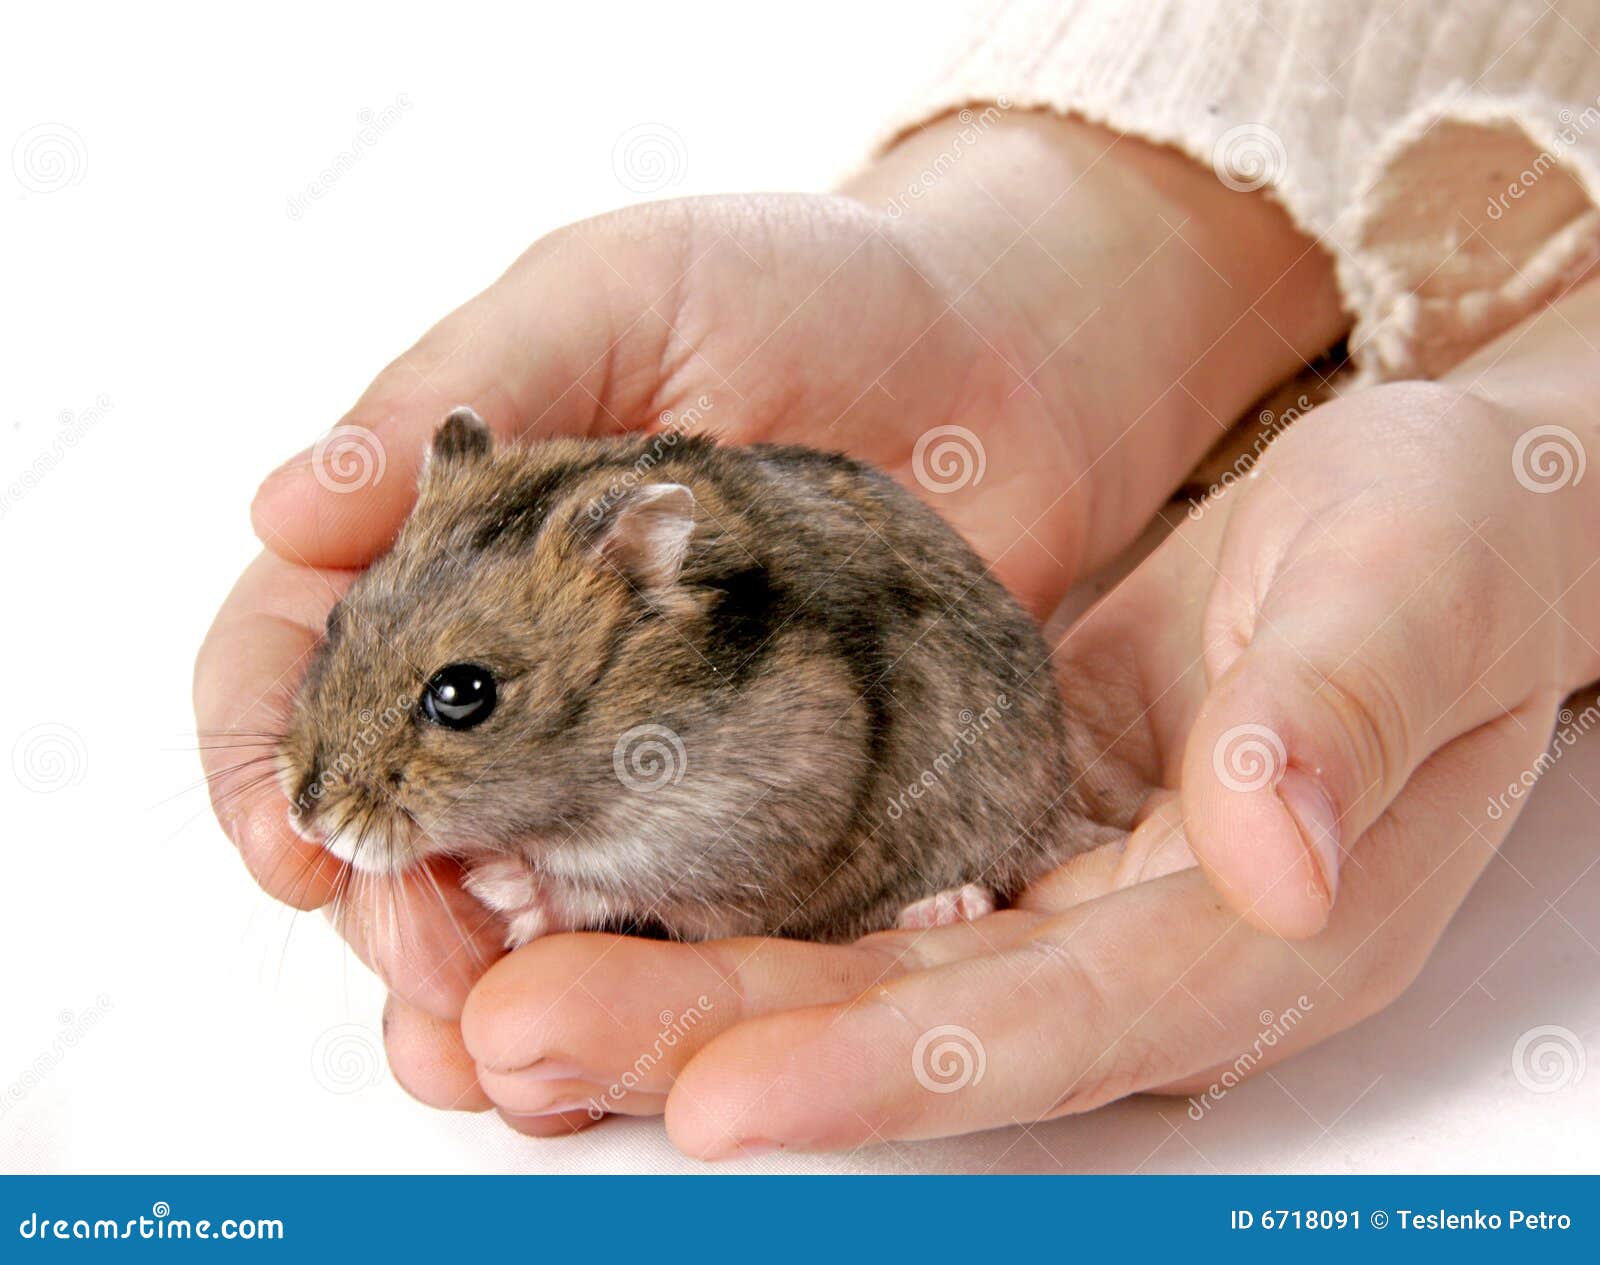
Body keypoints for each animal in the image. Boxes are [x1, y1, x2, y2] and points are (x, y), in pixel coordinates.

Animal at [277, 407, 1104, 945]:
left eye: (461, 693)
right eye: (336, 619)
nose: (304, 817)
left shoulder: (736, 821)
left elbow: (598, 887)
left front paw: (496, 885)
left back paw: (944, 907)